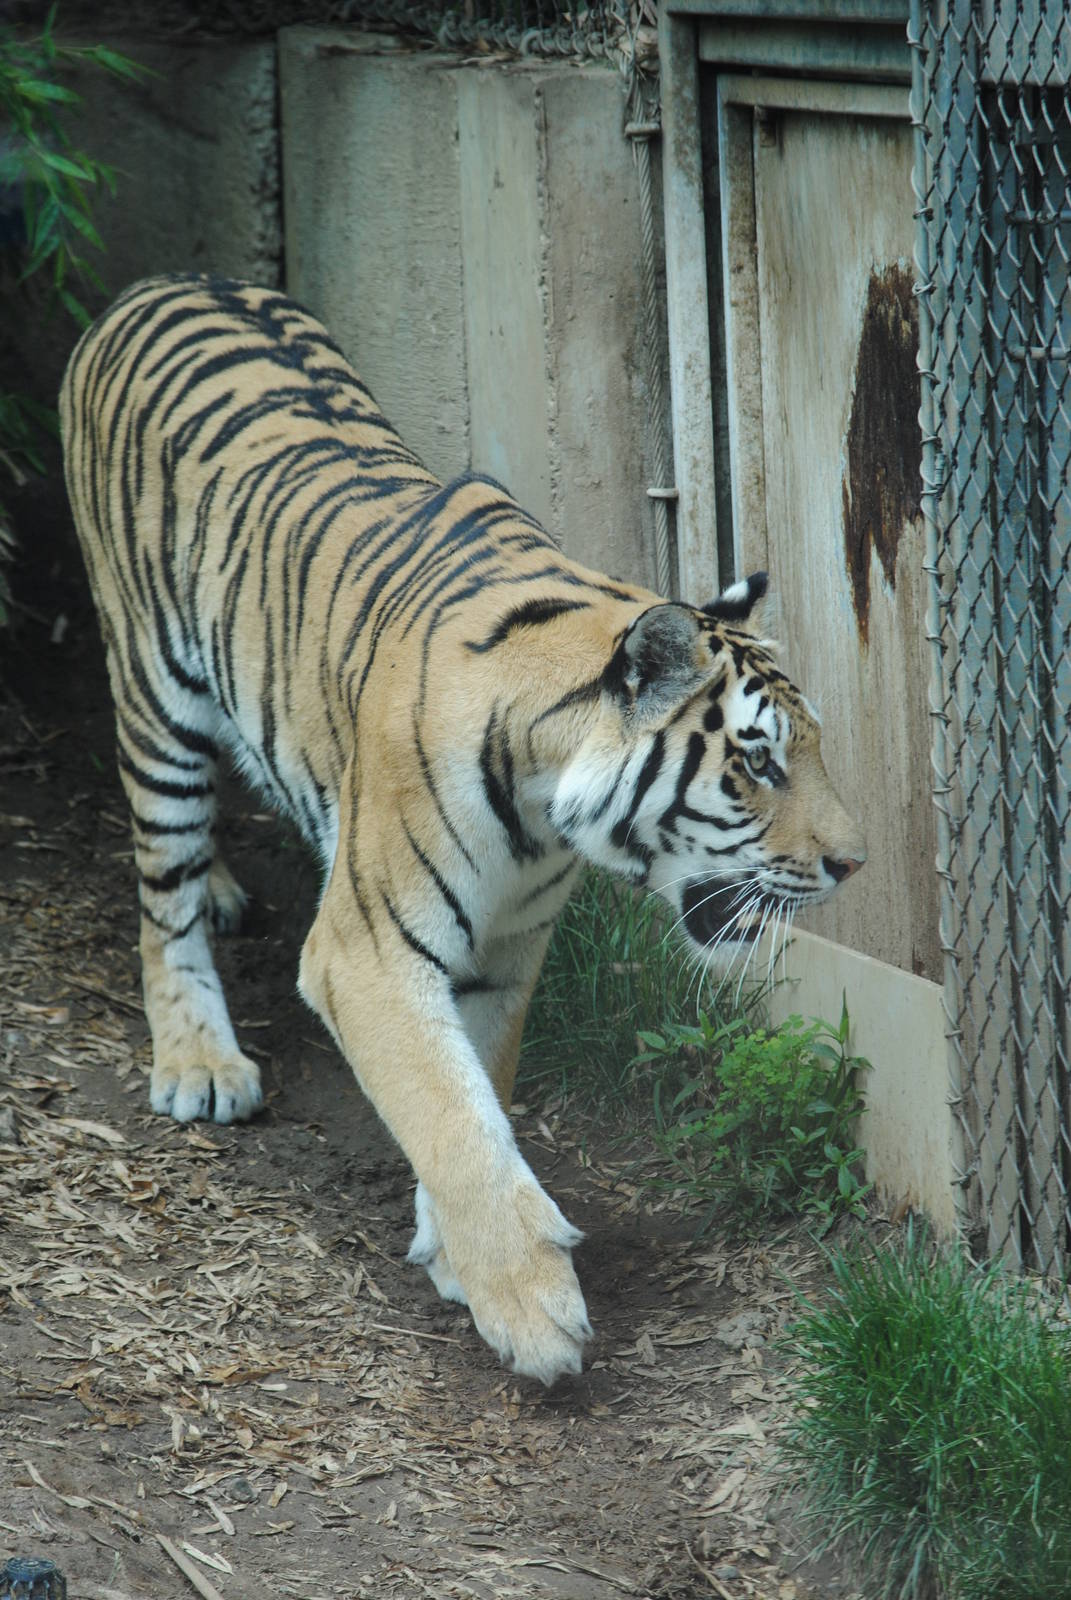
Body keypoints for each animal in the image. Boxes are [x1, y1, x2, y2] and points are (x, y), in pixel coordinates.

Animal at [59, 274, 865, 1386]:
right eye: (756, 762)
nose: (850, 861)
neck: (543, 812)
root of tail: (155, 285)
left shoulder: (502, 952)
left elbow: (475, 1089)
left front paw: (453, 1252)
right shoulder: (364, 951)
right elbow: (450, 1117)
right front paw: (534, 1310)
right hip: (152, 692)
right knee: (160, 889)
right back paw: (199, 1061)